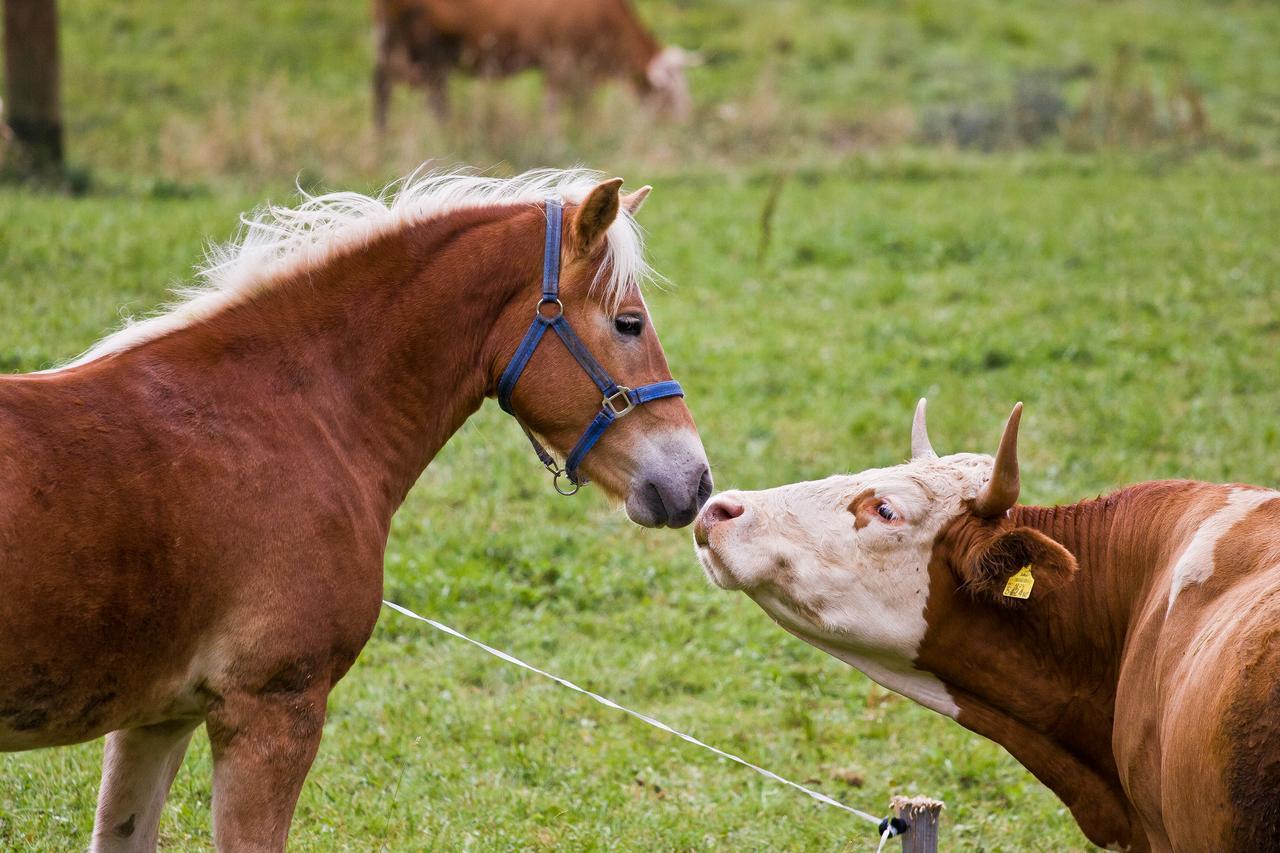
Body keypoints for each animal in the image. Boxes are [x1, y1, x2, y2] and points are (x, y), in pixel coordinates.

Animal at [371, 0, 696, 129]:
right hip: (424, 47)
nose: (679, 126)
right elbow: (560, 106)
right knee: (426, 94)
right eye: (668, 94)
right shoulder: (561, 57)